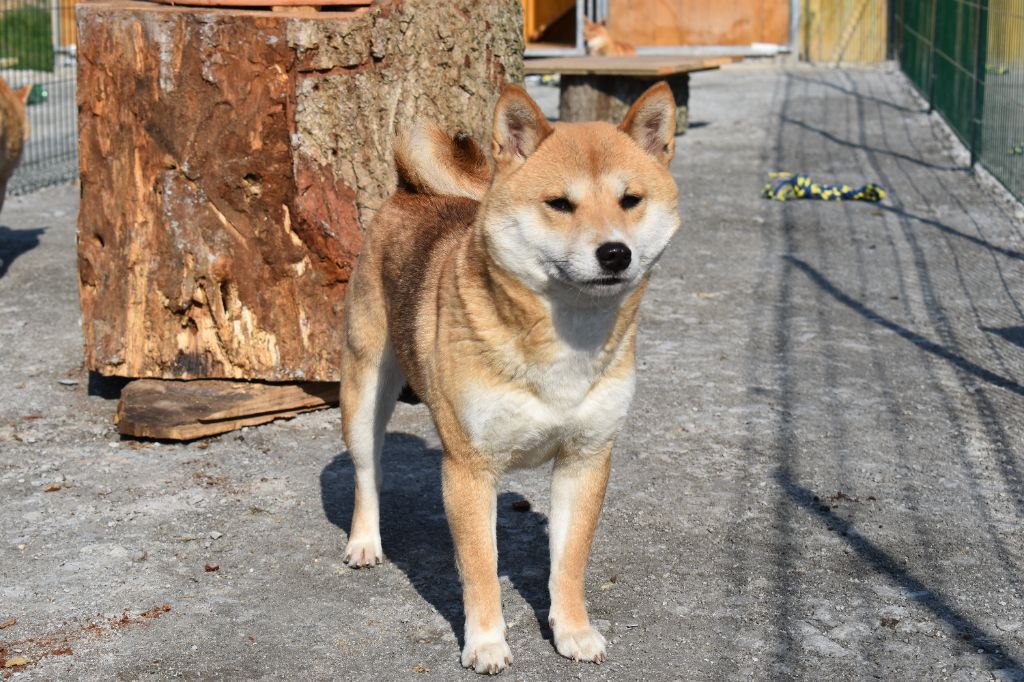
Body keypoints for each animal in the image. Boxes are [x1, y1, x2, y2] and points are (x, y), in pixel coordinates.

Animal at [338, 81, 680, 674]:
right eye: (560, 204)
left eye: (630, 200)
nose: (615, 253)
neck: (566, 339)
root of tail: (410, 190)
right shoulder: (470, 469)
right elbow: (480, 570)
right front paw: (486, 642)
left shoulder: (585, 459)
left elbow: (568, 564)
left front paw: (573, 631)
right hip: (363, 394)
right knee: (367, 473)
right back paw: (365, 541)